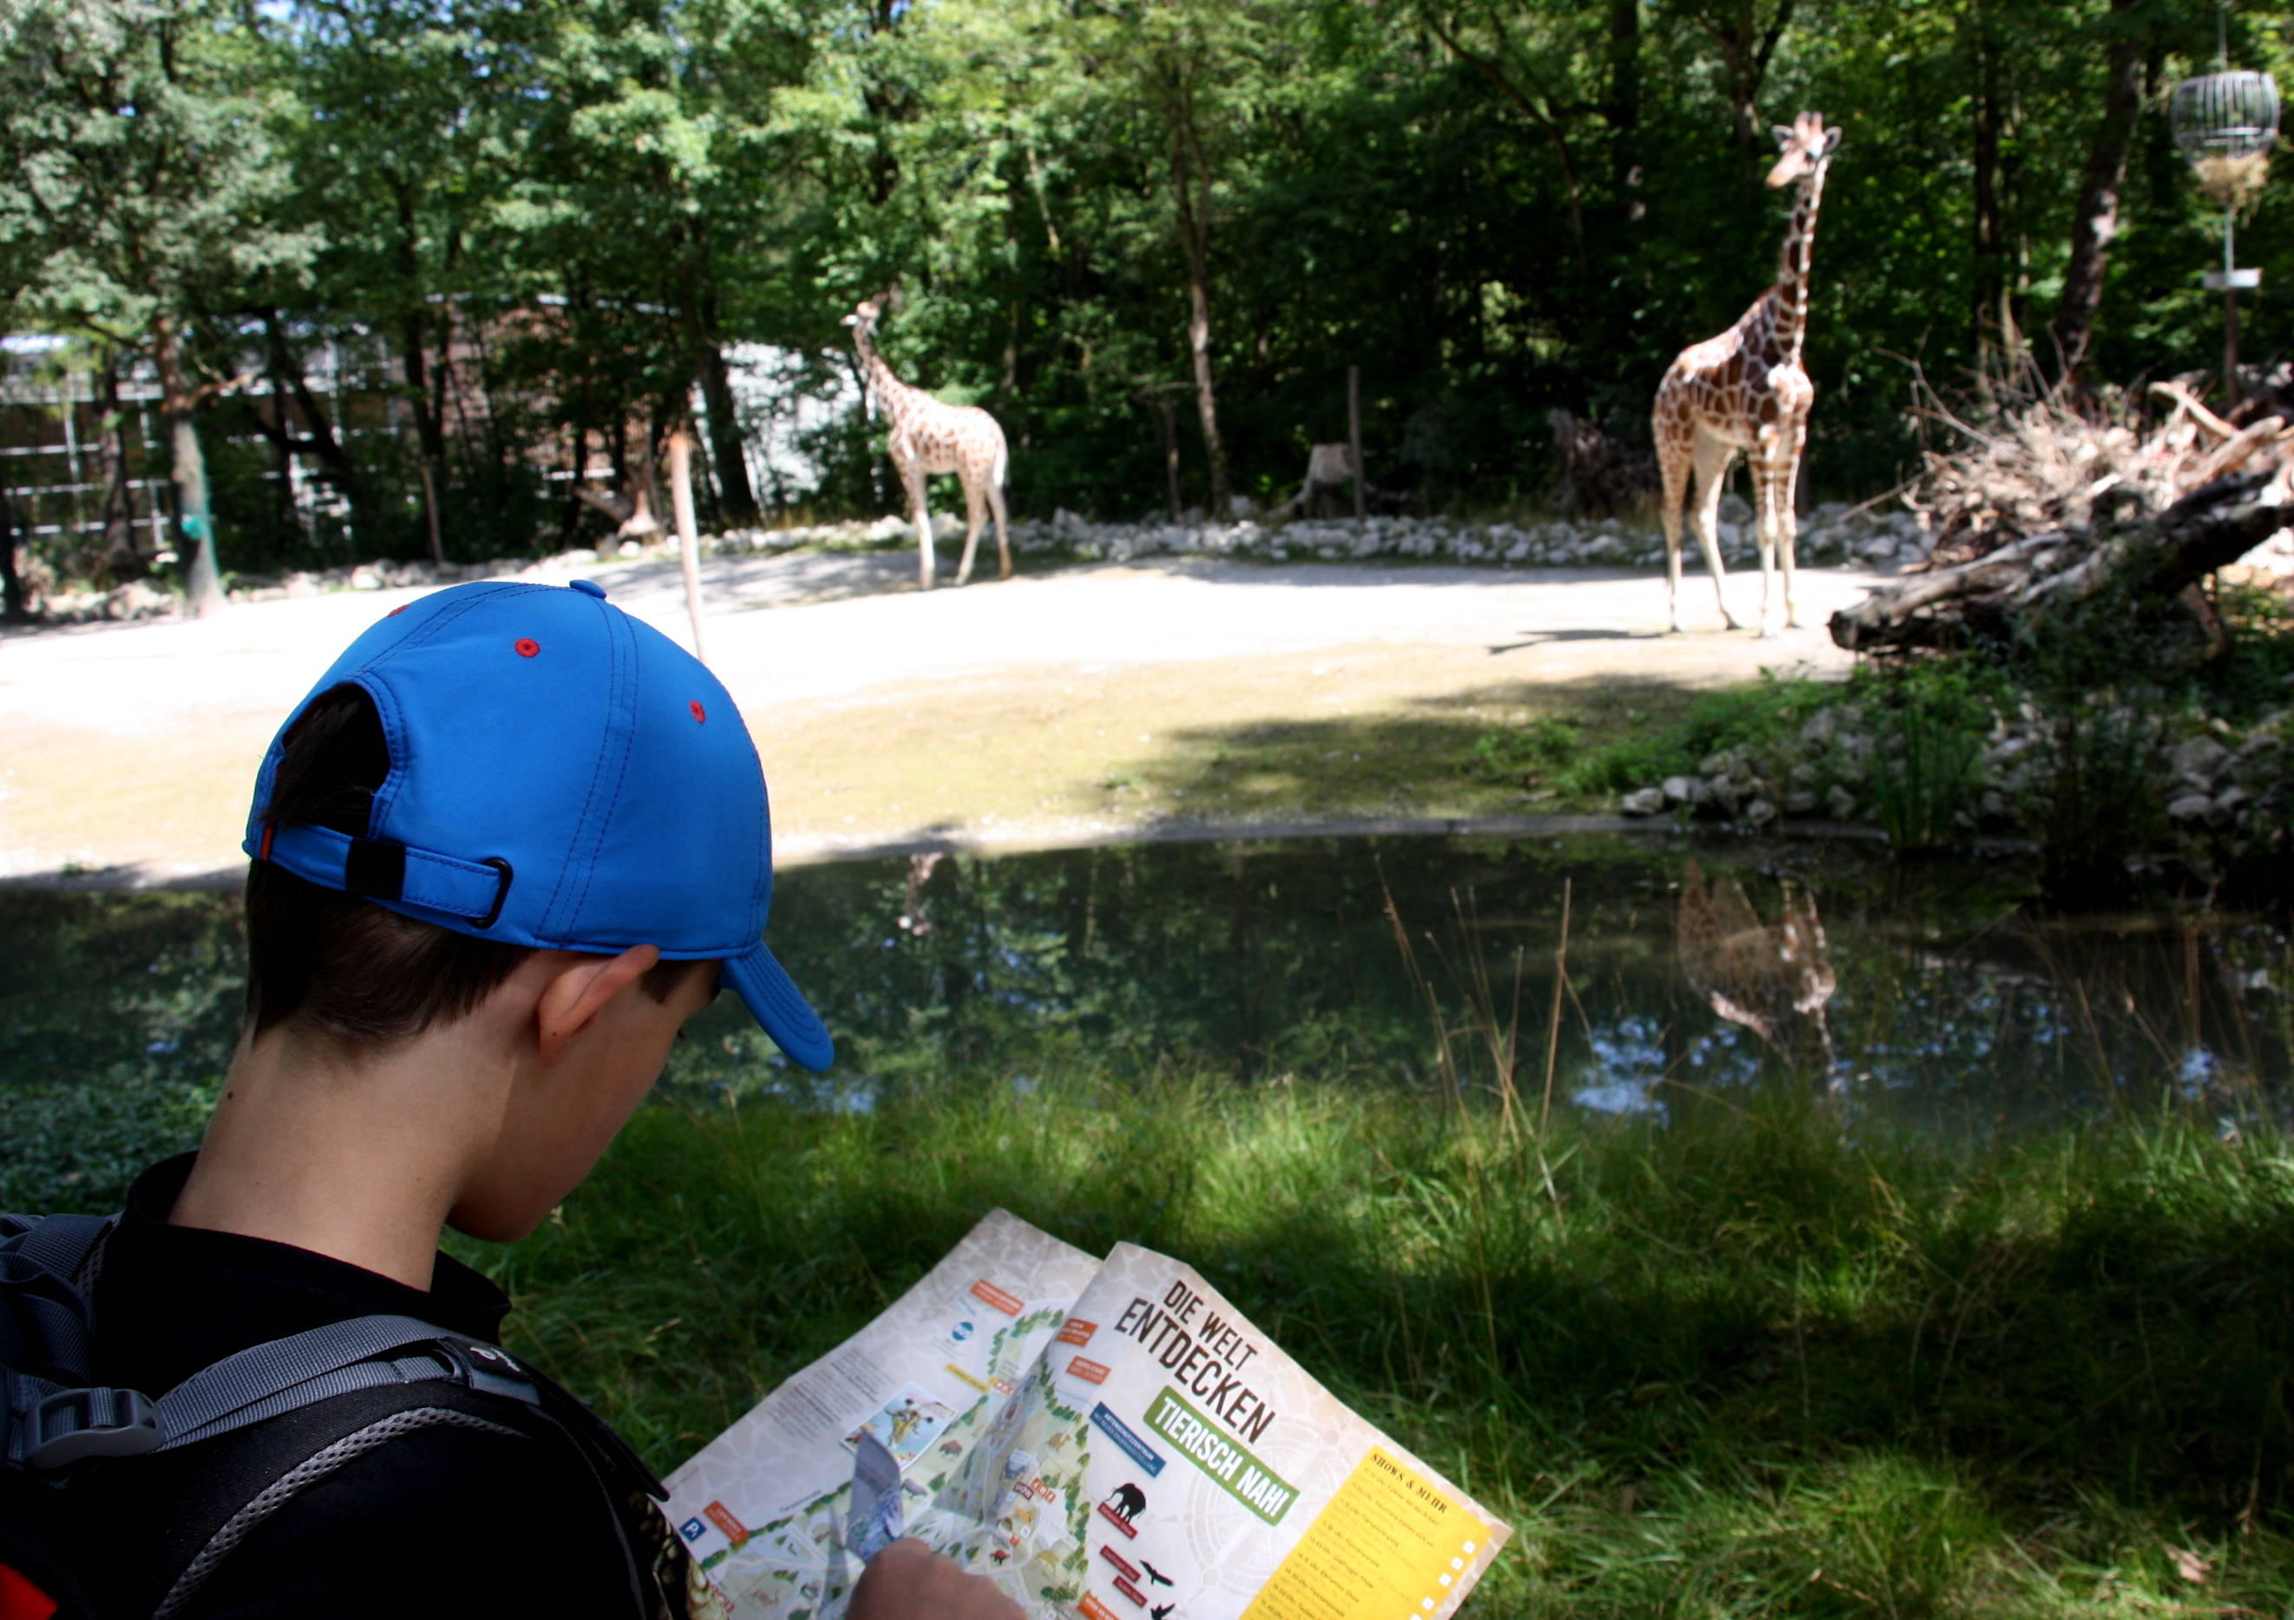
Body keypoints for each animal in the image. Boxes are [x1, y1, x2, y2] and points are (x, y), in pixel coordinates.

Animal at [844, 296, 1011, 590]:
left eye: (868, 314)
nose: (871, 327)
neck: (893, 405)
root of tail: (997, 433)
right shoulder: (920, 470)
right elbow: (923, 518)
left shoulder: (906, 467)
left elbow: (921, 519)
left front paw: (926, 579)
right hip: (990, 472)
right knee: (1001, 510)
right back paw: (1004, 570)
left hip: (970, 470)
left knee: (979, 515)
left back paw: (962, 575)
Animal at [1652, 111, 1843, 636]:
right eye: (1784, 149)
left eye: (1812, 154)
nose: (1777, 178)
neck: (1787, 336)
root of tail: (1665, 381)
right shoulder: (1761, 435)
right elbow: (1766, 525)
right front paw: (1768, 619)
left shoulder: (1796, 432)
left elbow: (1791, 523)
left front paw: (1793, 613)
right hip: (1673, 440)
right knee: (1671, 512)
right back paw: (1676, 617)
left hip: (1713, 446)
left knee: (1702, 513)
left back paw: (1730, 613)